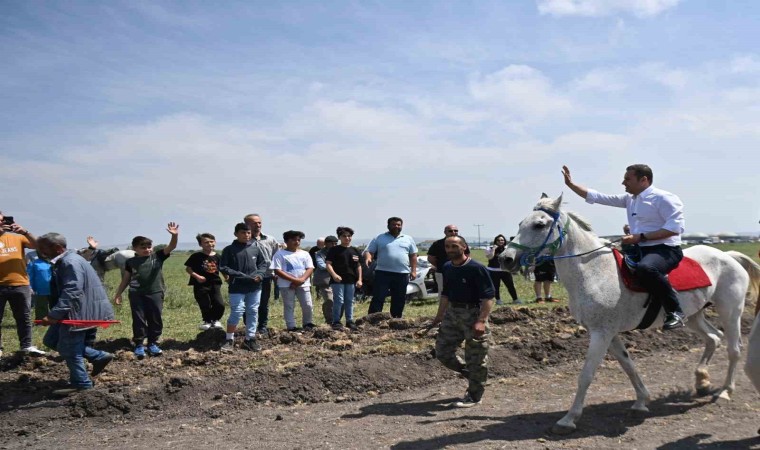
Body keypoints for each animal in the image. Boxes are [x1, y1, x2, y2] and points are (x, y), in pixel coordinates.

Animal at [496, 195, 756, 434]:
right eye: (520, 223)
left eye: (539, 224)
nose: (505, 259)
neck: (594, 273)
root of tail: (729, 256)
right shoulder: (608, 333)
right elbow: (628, 365)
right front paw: (641, 401)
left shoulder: (601, 334)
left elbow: (586, 375)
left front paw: (568, 419)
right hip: (693, 316)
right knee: (713, 338)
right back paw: (702, 380)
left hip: (730, 311)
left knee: (734, 349)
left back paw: (725, 392)